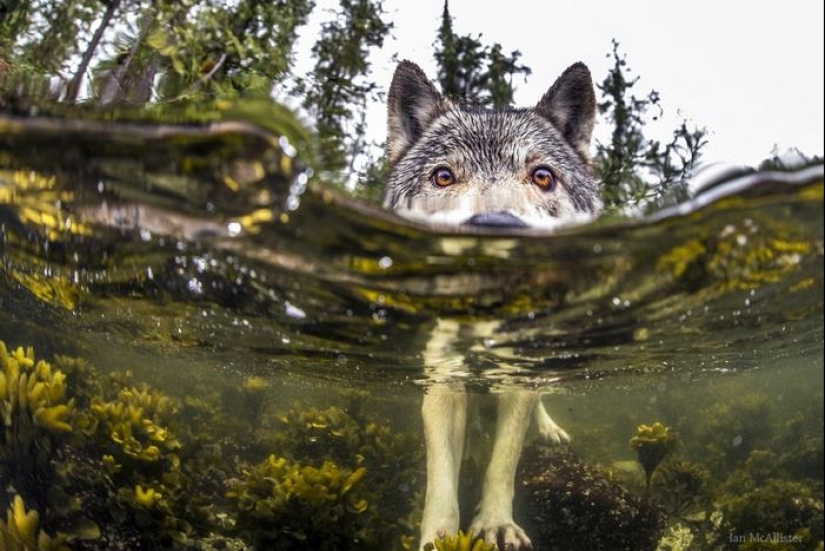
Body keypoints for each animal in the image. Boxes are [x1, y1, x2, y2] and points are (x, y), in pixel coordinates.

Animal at [380, 61, 600, 551]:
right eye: (444, 176)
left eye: (542, 176)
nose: (496, 227)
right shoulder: (443, 382)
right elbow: (441, 477)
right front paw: (439, 537)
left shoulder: (517, 380)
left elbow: (504, 461)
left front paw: (497, 525)